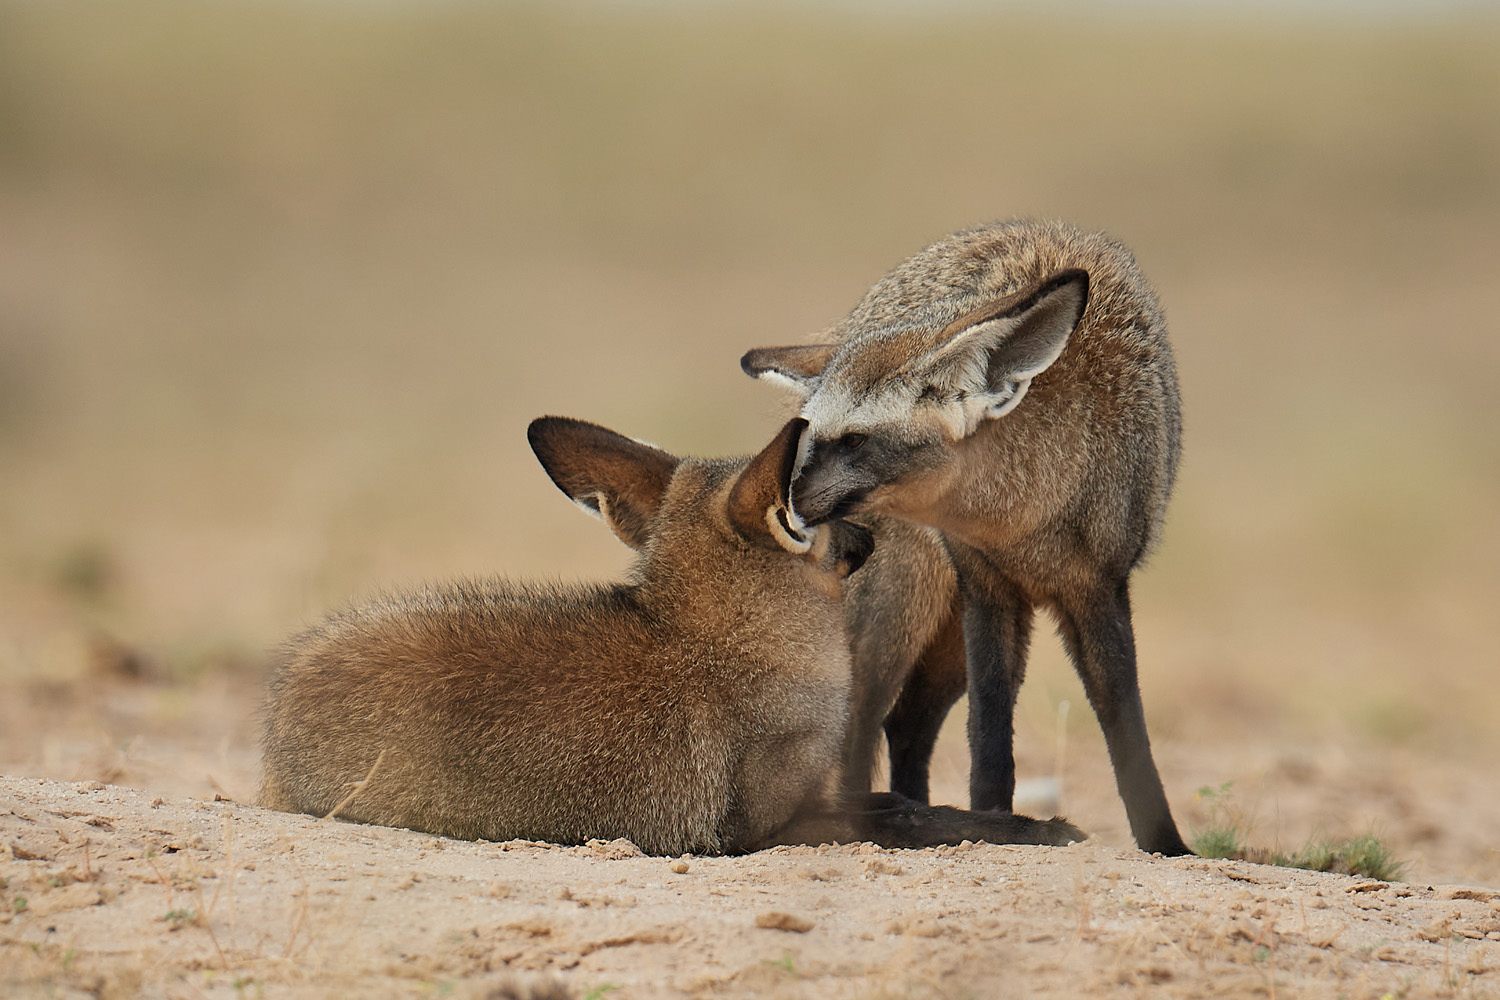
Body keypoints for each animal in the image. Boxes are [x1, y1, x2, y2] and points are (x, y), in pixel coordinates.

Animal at [258, 419, 1080, 857]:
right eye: (809, 508)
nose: (868, 536)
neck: (715, 639)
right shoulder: (766, 826)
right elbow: (903, 813)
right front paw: (1029, 825)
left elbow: (903, 804)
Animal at [744, 223, 1188, 857]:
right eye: (807, 437)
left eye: (854, 441)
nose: (776, 503)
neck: (1022, 526)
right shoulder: (986, 588)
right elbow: (990, 731)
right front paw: (995, 824)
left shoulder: (1098, 589)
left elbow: (1124, 722)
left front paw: (1166, 845)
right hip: (896, 616)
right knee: (862, 726)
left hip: (941, 638)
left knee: (905, 724)